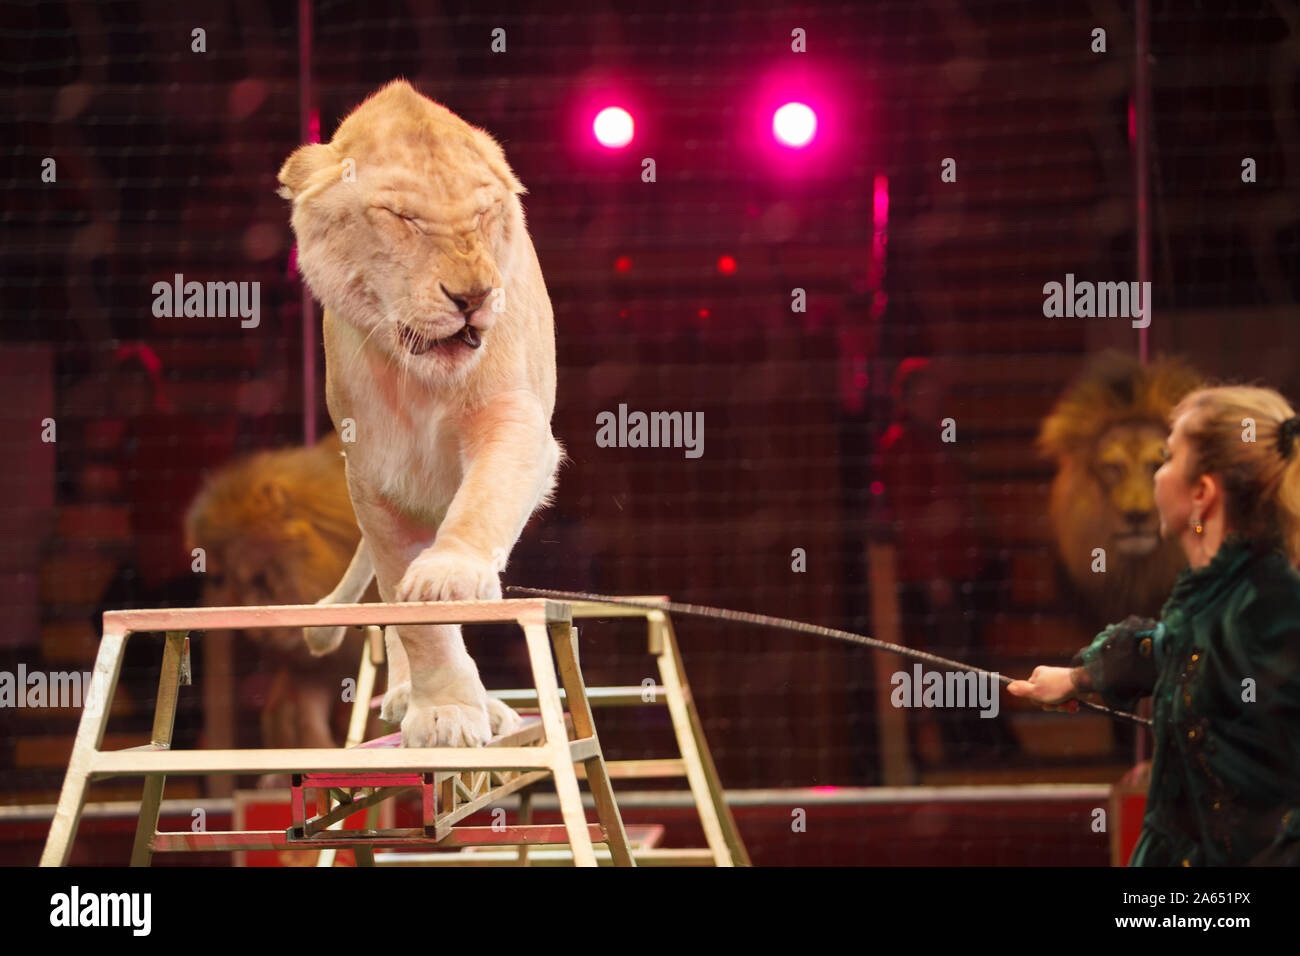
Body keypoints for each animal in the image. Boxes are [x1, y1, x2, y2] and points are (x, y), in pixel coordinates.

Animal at [279, 80, 564, 749]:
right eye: (401, 218)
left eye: (483, 215)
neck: (423, 382)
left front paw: (451, 578)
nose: (473, 297)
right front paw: (444, 711)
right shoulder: (375, 474)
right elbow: (408, 615)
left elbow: (484, 500)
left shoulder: (513, 417)